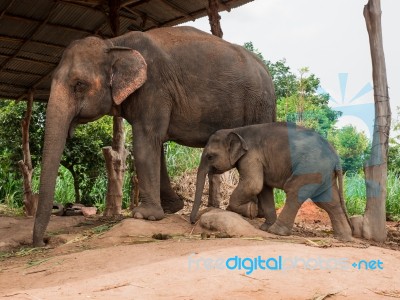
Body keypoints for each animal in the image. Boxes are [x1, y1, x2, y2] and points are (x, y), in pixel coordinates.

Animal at [32, 25, 276, 246]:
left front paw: (144, 215)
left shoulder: (154, 89)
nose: (42, 243)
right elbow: (155, 144)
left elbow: (145, 142)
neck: (114, 43)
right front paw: (171, 208)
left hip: (260, 103)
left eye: (79, 85)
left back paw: (252, 212)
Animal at [191, 122, 354, 241]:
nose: (192, 221)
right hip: (324, 174)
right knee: (329, 202)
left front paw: (250, 211)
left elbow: (253, 184)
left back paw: (276, 231)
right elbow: (263, 188)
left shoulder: (251, 156)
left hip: (310, 168)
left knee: (294, 191)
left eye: (210, 156)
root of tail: (336, 157)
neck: (237, 130)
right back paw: (344, 238)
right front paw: (262, 226)